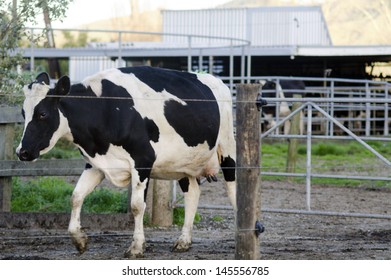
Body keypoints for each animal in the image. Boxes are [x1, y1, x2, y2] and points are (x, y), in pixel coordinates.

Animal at [15, 66, 237, 258]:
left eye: (42, 113)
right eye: (23, 113)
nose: (21, 152)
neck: (107, 109)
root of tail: (218, 82)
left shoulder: (142, 160)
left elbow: (137, 206)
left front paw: (137, 247)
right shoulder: (96, 164)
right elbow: (76, 196)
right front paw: (79, 240)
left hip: (227, 148)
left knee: (233, 190)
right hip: (183, 163)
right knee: (193, 194)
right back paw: (183, 241)